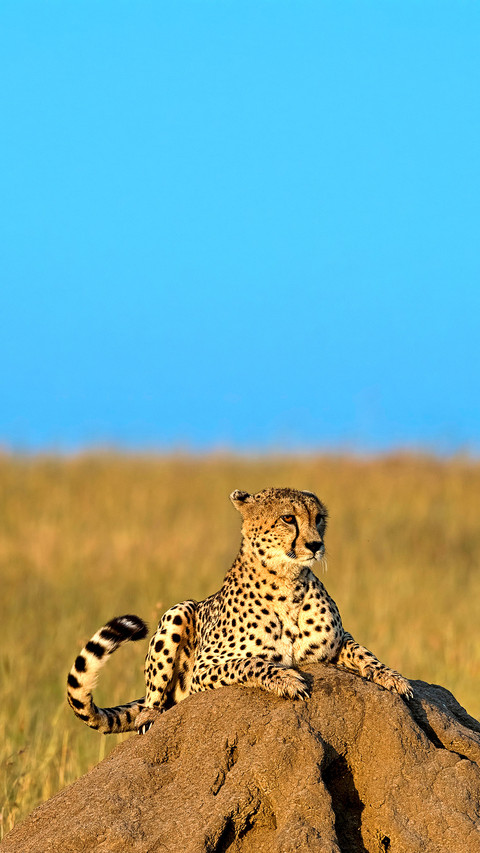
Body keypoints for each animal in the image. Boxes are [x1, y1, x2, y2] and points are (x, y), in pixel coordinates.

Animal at [67, 486, 412, 735]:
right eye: (288, 518)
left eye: (319, 518)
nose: (316, 545)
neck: (287, 581)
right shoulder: (203, 669)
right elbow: (251, 663)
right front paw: (286, 680)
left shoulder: (336, 643)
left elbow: (366, 653)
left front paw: (394, 679)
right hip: (178, 612)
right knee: (150, 705)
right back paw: (150, 718)